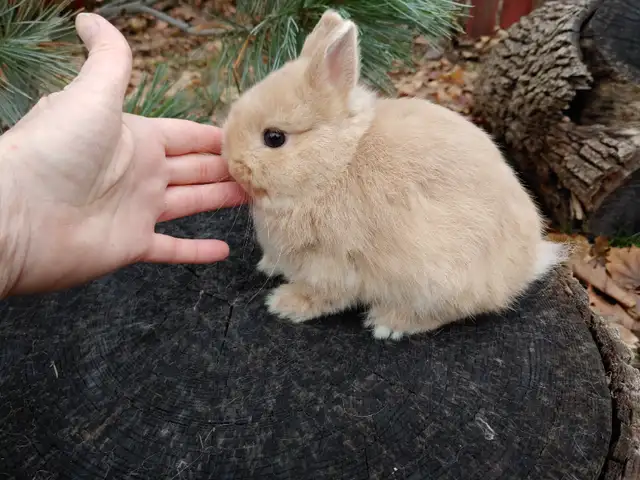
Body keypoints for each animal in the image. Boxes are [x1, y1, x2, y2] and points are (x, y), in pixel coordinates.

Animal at [221, 9, 568, 340]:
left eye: (274, 138)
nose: (231, 163)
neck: (336, 165)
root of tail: (524, 267)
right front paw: (268, 266)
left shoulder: (333, 264)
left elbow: (323, 295)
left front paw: (283, 304)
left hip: (439, 279)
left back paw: (388, 323)